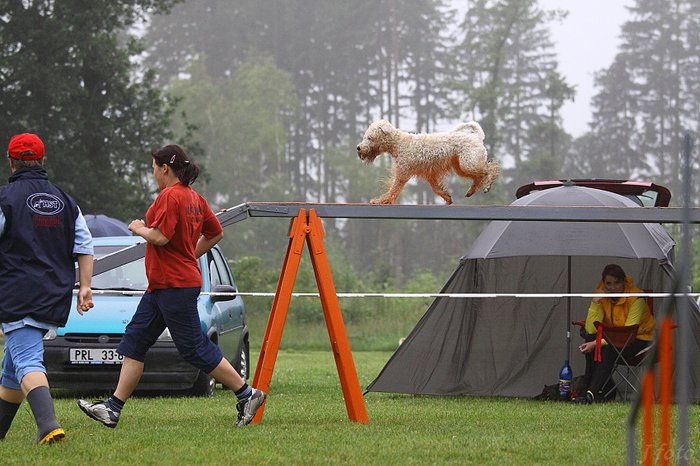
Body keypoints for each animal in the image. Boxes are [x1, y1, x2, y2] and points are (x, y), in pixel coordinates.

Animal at [358, 120, 500, 204]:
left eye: (370, 138)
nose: (358, 148)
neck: (399, 144)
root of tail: (477, 136)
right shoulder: (430, 174)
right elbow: (436, 189)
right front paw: (447, 197)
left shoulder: (402, 173)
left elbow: (393, 188)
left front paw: (381, 200)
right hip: (462, 166)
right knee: (479, 177)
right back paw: (471, 191)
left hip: (468, 163)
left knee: (491, 168)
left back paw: (487, 186)